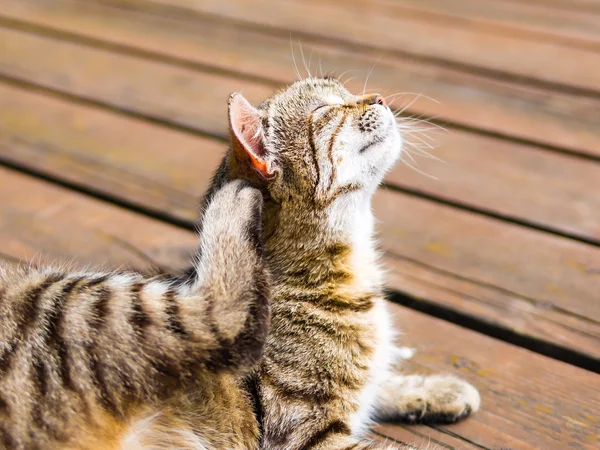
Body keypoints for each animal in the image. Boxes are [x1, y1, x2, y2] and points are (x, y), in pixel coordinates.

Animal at [202, 75, 482, 448]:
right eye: (326, 108)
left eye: (346, 92)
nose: (379, 97)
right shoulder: (305, 434)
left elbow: (377, 380)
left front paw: (436, 390)